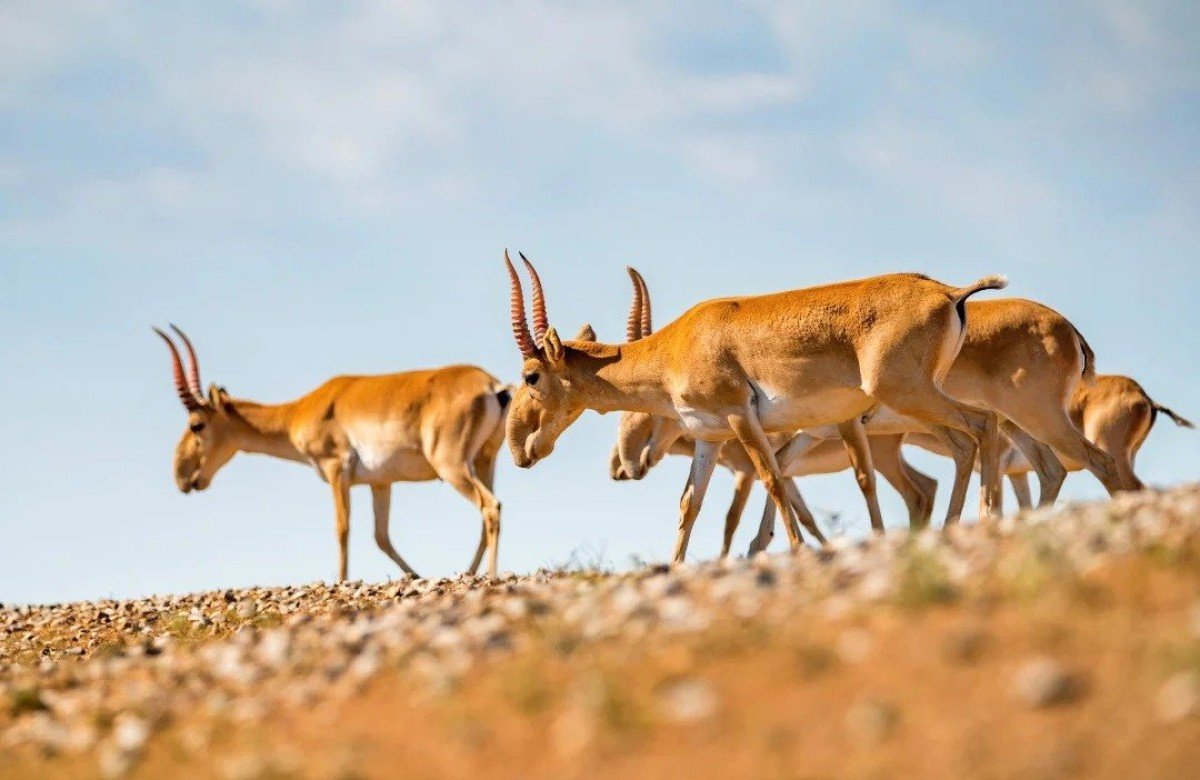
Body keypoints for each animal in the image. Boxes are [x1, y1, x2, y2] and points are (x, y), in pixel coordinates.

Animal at [153, 321, 511, 576]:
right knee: (487, 513)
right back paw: (470, 573)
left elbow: (342, 529)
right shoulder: (381, 483)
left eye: (196, 424)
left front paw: (342, 582)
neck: (300, 411)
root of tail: (492, 385)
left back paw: (490, 576)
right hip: (484, 461)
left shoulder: (336, 469)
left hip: (452, 467)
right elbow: (381, 537)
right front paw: (415, 576)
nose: (182, 478)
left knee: (490, 506)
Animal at [501, 249, 1008, 559]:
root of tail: (948, 292)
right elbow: (689, 504)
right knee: (964, 445)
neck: (678, 345)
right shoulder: (709, 437)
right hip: (913, 405)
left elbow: (773, 480)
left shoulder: (740, 417)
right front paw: (676, 565)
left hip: (907, 397)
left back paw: (988, 520)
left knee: (983, 424)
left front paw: (797, 551)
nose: (519, 449)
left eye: (531, 376)